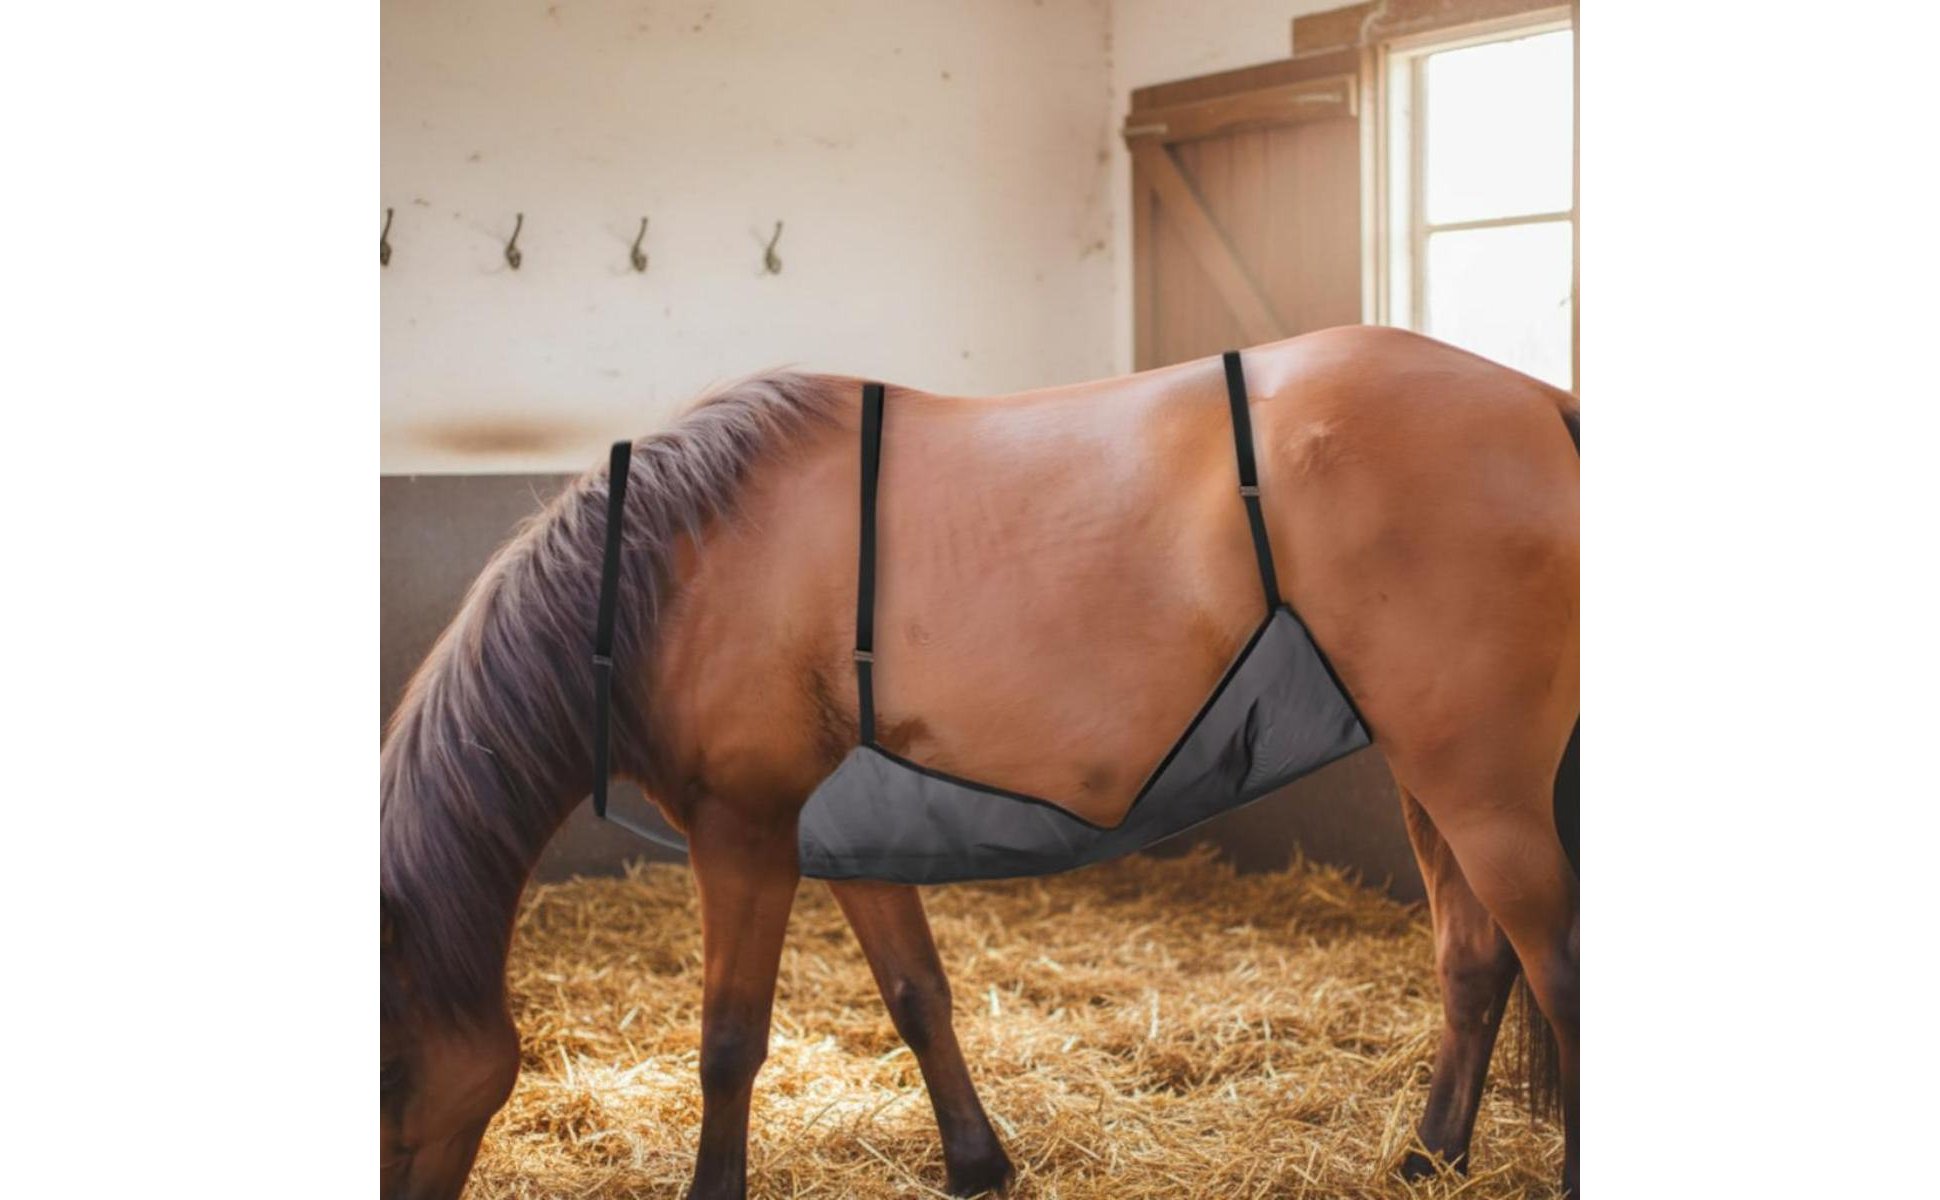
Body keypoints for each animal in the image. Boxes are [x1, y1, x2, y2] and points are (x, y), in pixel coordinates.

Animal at [379, 324, 1581, 1199]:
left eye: (390, 1074)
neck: (678, 566)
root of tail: (1540, 402)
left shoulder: (742, 830)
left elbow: (727, 1041)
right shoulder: (840, 838)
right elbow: (918, 997)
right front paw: (975, 1163)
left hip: (1481, 789)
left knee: (1557, 970)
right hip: (1428, 774)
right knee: (1475, 964)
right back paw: (1430, 1156)